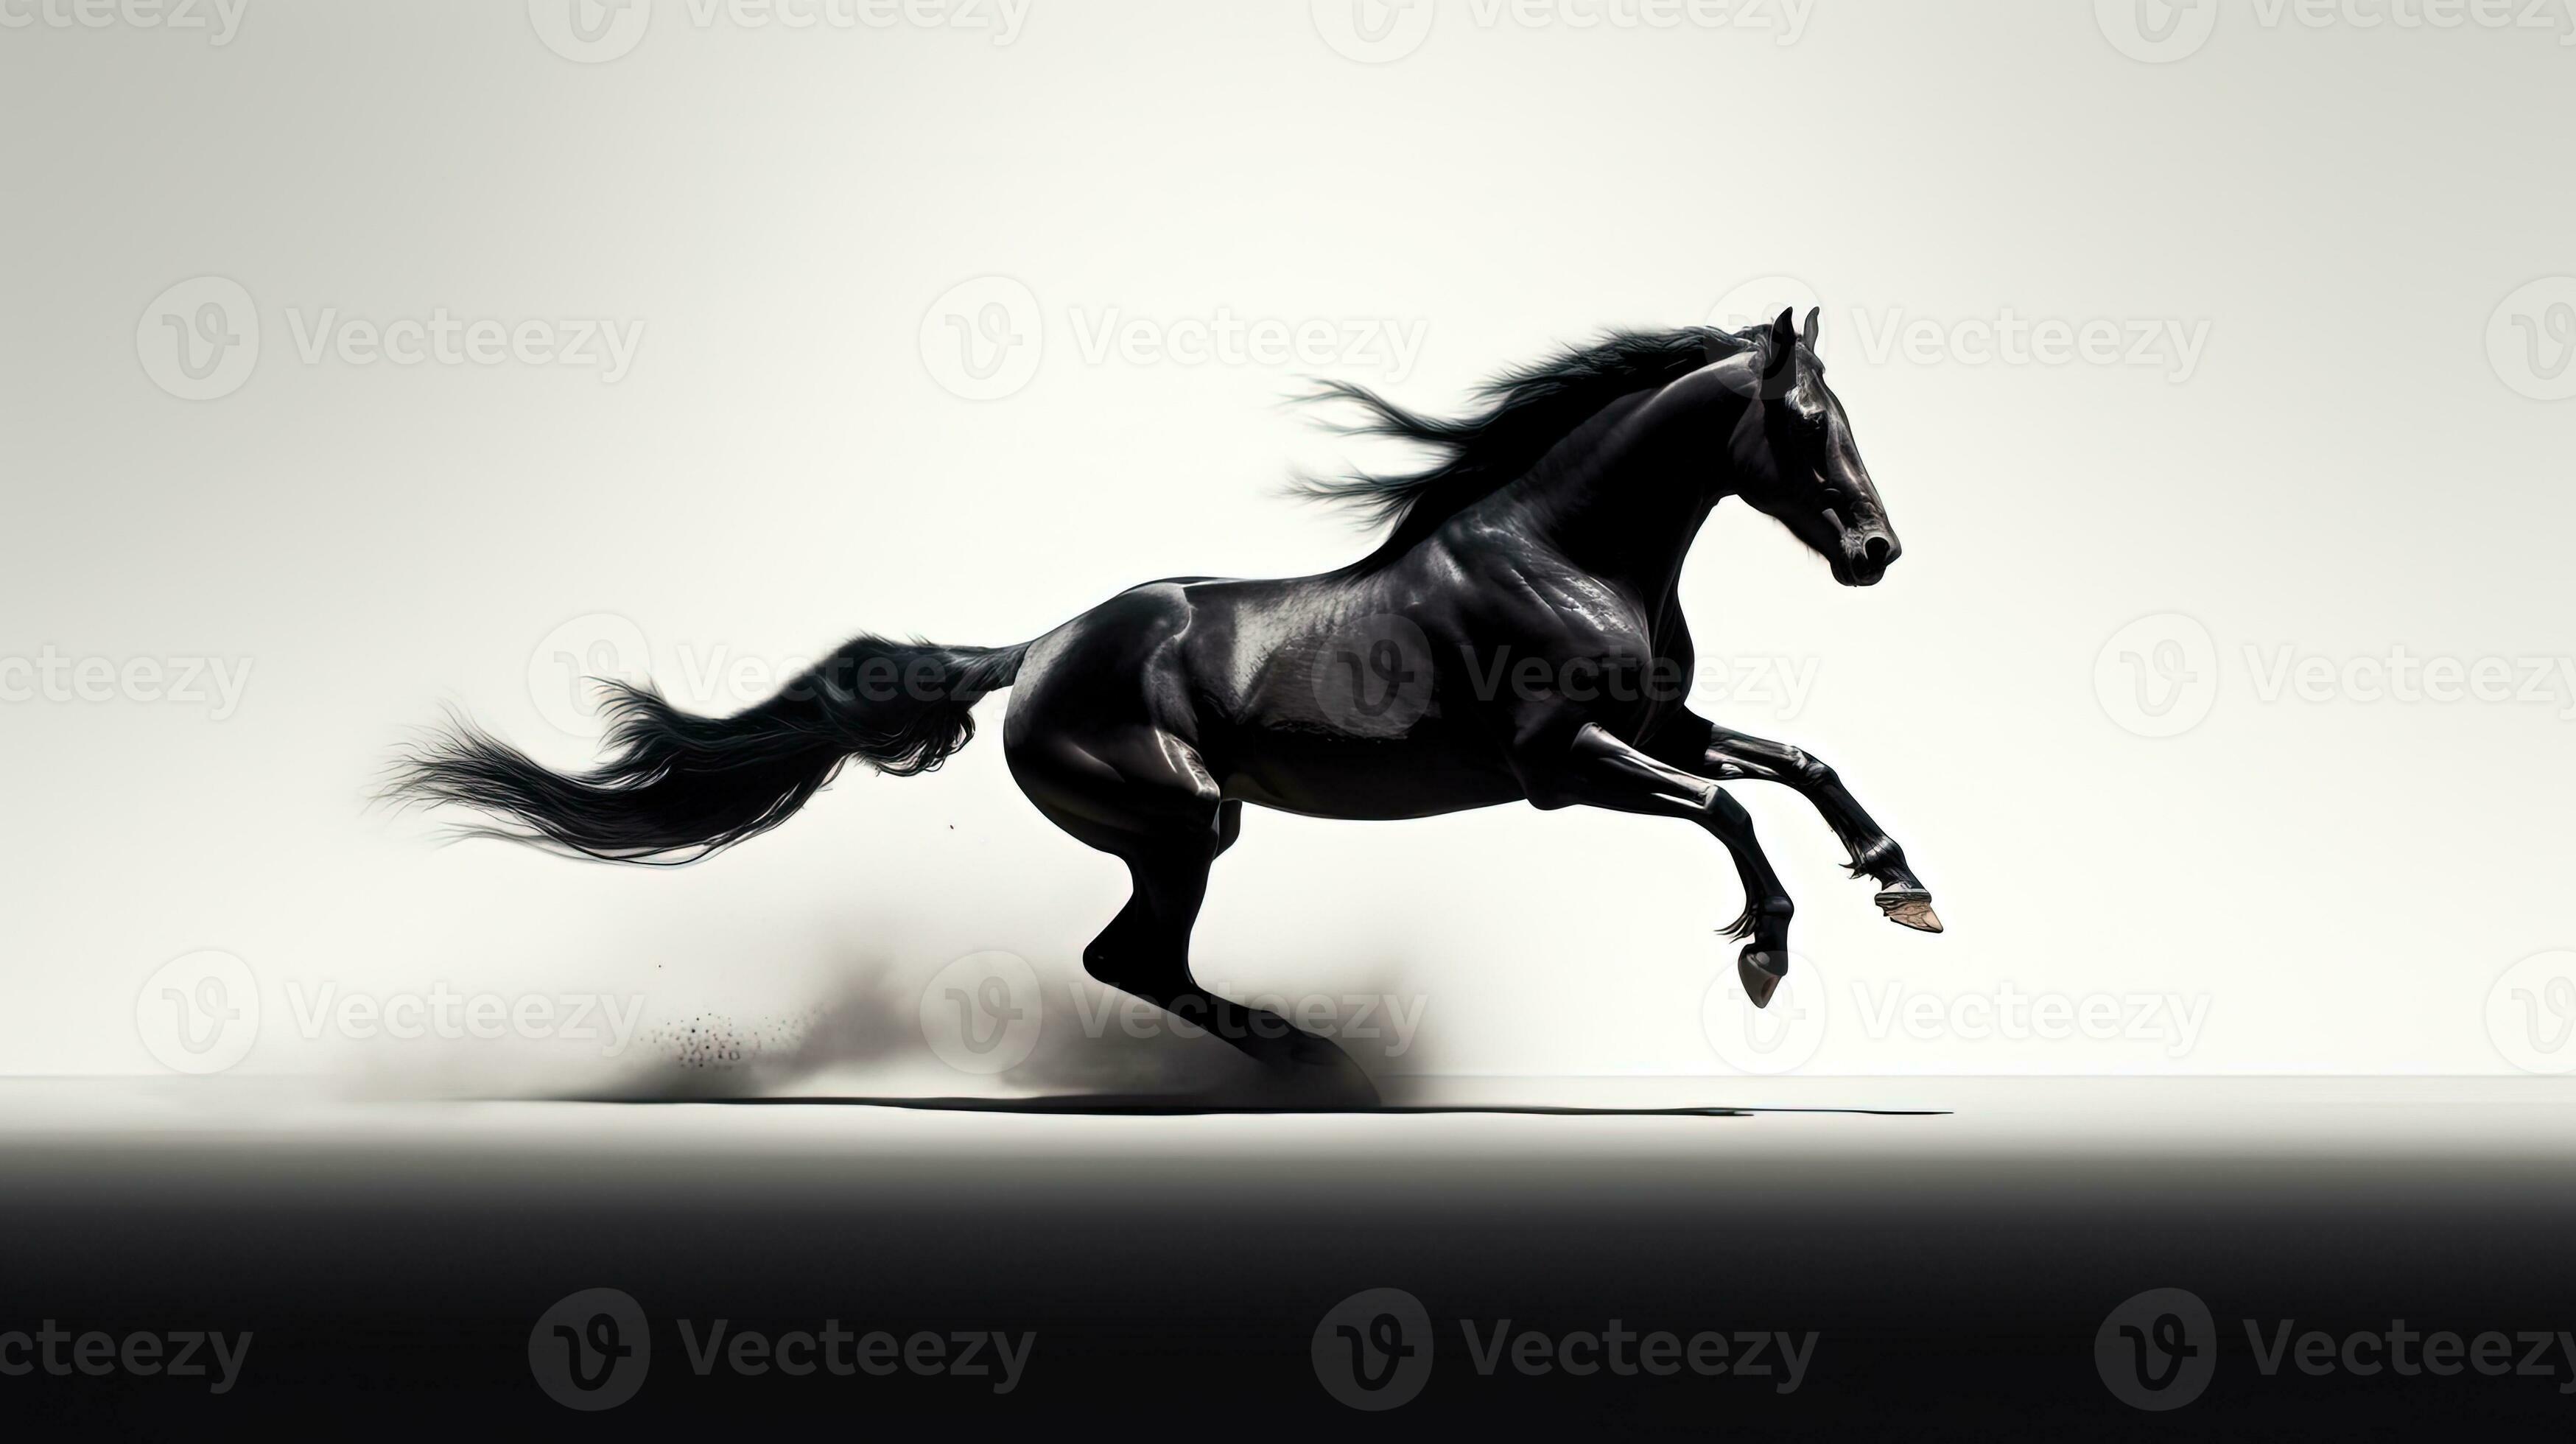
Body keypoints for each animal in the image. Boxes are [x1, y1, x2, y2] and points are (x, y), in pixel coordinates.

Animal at [391, 308, 1939, 1103]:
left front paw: (1902, 888)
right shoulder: (1565, 761)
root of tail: (1030, 655)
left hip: (1185, 829)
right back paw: (1311, 1055)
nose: (1875, 553)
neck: (1564, 549)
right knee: (1125, 958)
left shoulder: (1657, 724)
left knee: (1131, 960)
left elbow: (1800, 763)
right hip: (1187, 820)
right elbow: (1730, 806)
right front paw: (1765, 955)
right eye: (1806, 422)